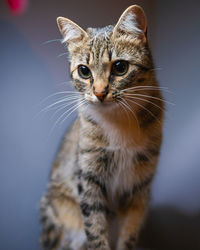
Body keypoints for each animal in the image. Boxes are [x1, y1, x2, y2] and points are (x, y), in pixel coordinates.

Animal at [40, 4, 164, 250]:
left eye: (120, 67)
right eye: (84, 71)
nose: (99, 92)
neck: (119, 123)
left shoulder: (139, 187)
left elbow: (129, 234)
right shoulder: (88, 179)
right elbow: (95, 230)